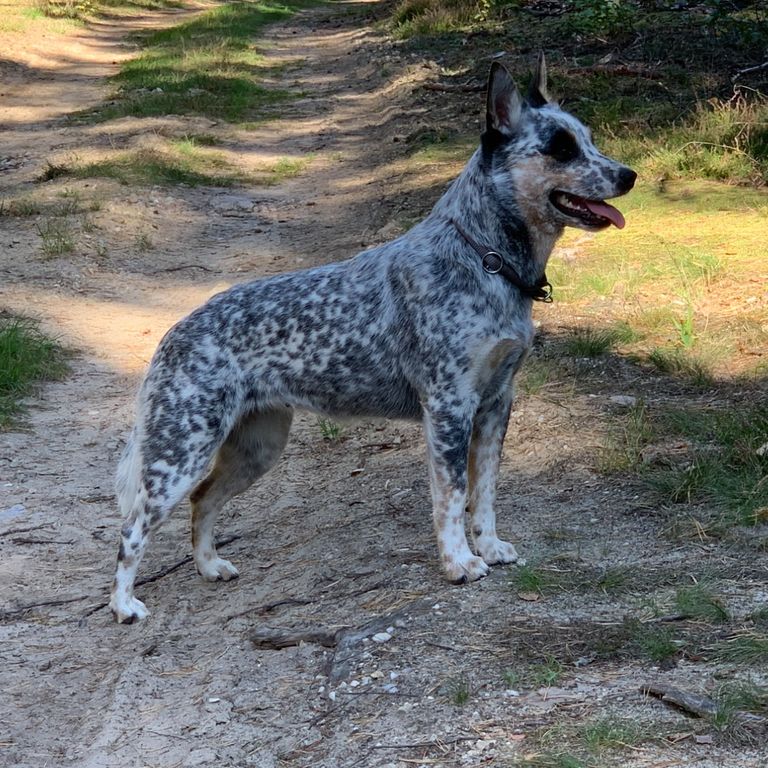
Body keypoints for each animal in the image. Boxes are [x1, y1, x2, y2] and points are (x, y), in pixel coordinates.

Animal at [108, 58, 636, 624]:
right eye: (560, 147)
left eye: (588, 138)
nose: (630, 175)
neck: (483, 257)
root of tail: (175, 333)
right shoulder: (449, 408)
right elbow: (452, 497)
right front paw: (459, 563)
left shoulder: (496, 405)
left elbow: (486, 492)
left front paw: (490, 547)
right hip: (180, 453)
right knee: (132, 529)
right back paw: (124, 604)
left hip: (258, 446)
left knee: (203, 501)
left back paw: (210, 567)